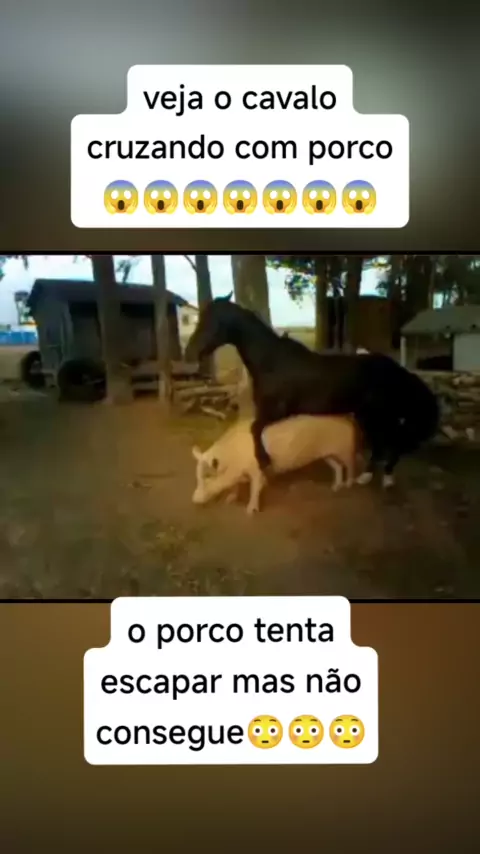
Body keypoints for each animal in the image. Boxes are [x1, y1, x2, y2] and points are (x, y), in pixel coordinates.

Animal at [185, 294, 440, 486]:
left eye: (212, 321)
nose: (190, 353)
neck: (272, 362)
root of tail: (397, 370)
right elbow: (256, 430)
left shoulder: (277, 411)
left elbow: (255, 429)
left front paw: (265, 461)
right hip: (367, 415)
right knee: (380, 443)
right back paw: (367, 476)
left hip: (382, 415)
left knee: (391, 442)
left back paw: (386, 477)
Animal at [192, 414, 357, 514]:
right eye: (198, 478)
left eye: (207, 477)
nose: (193, 499)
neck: (232, 457)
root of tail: (347, 422)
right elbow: (235, 487)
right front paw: (229, 499)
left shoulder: (256, 470)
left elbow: (255, 488)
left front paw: (250, 511)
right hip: (328, 455)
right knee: (338, 467)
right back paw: (335, 488)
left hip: (345, 451)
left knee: (350, 466)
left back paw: (348, 484)